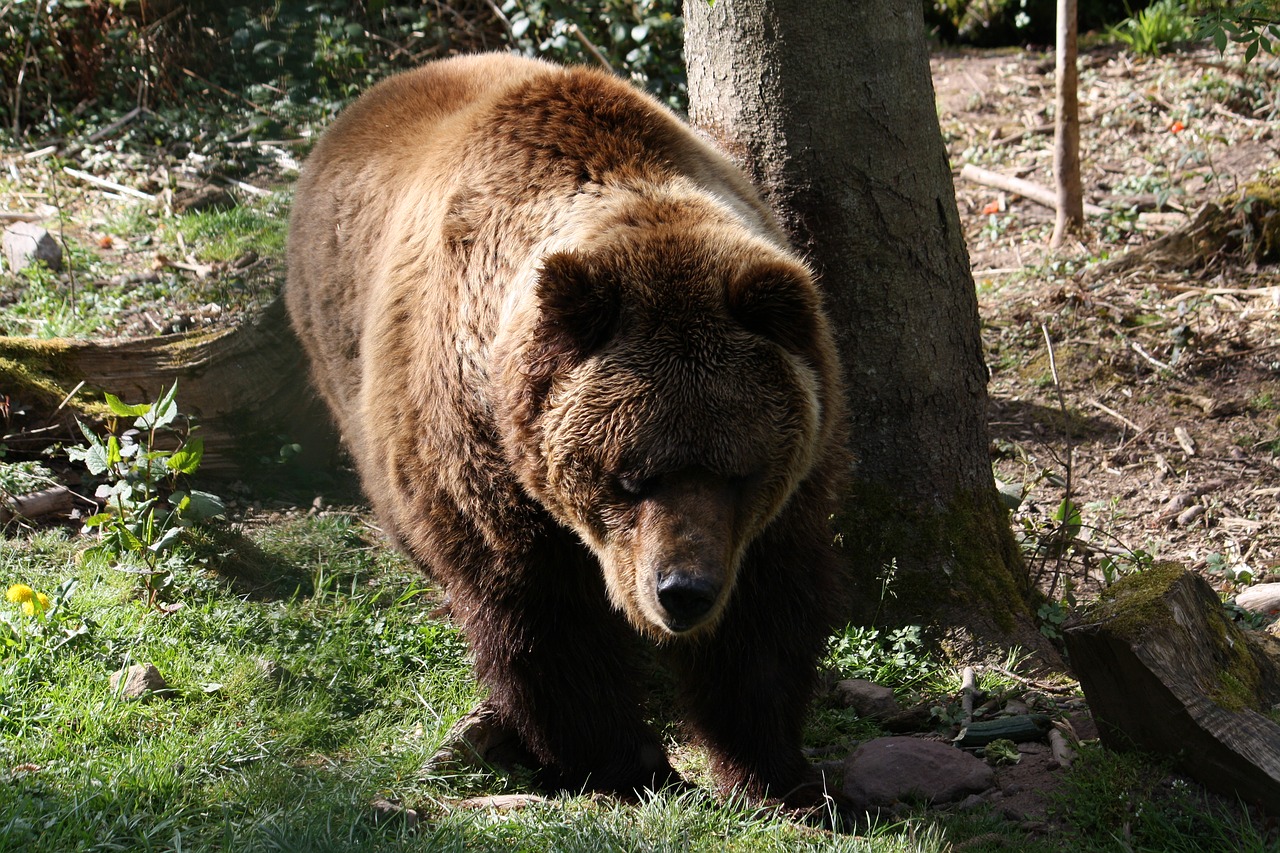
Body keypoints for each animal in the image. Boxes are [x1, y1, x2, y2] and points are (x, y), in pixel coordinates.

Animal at [286, 53, 855, 804]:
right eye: (631, 475)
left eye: (740, 470)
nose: (682, 590)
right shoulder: (481, 459)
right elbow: (546, 624)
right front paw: (625, 763)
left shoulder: (787, 485)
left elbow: (763, 620)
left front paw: (772, 768)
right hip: (342, 364)